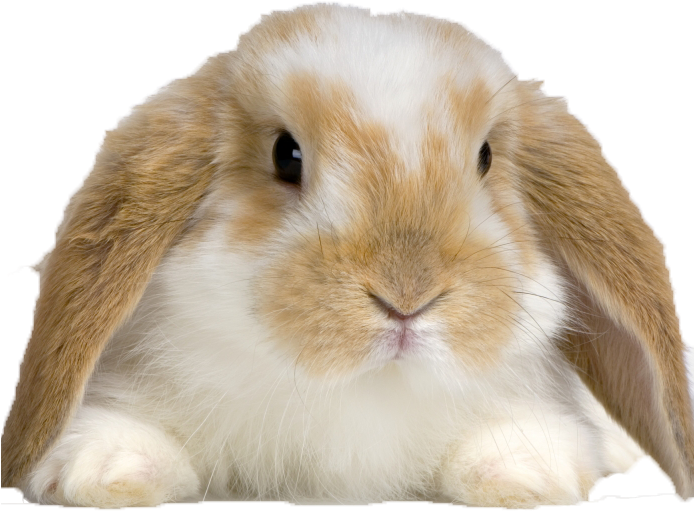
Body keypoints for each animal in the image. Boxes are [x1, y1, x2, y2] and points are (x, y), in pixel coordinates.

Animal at [2, 2, 693, 508]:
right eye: (286, 155)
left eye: (486, 158)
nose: (406, 297)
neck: (360, 390)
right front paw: (110, 473)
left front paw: (523, 476)